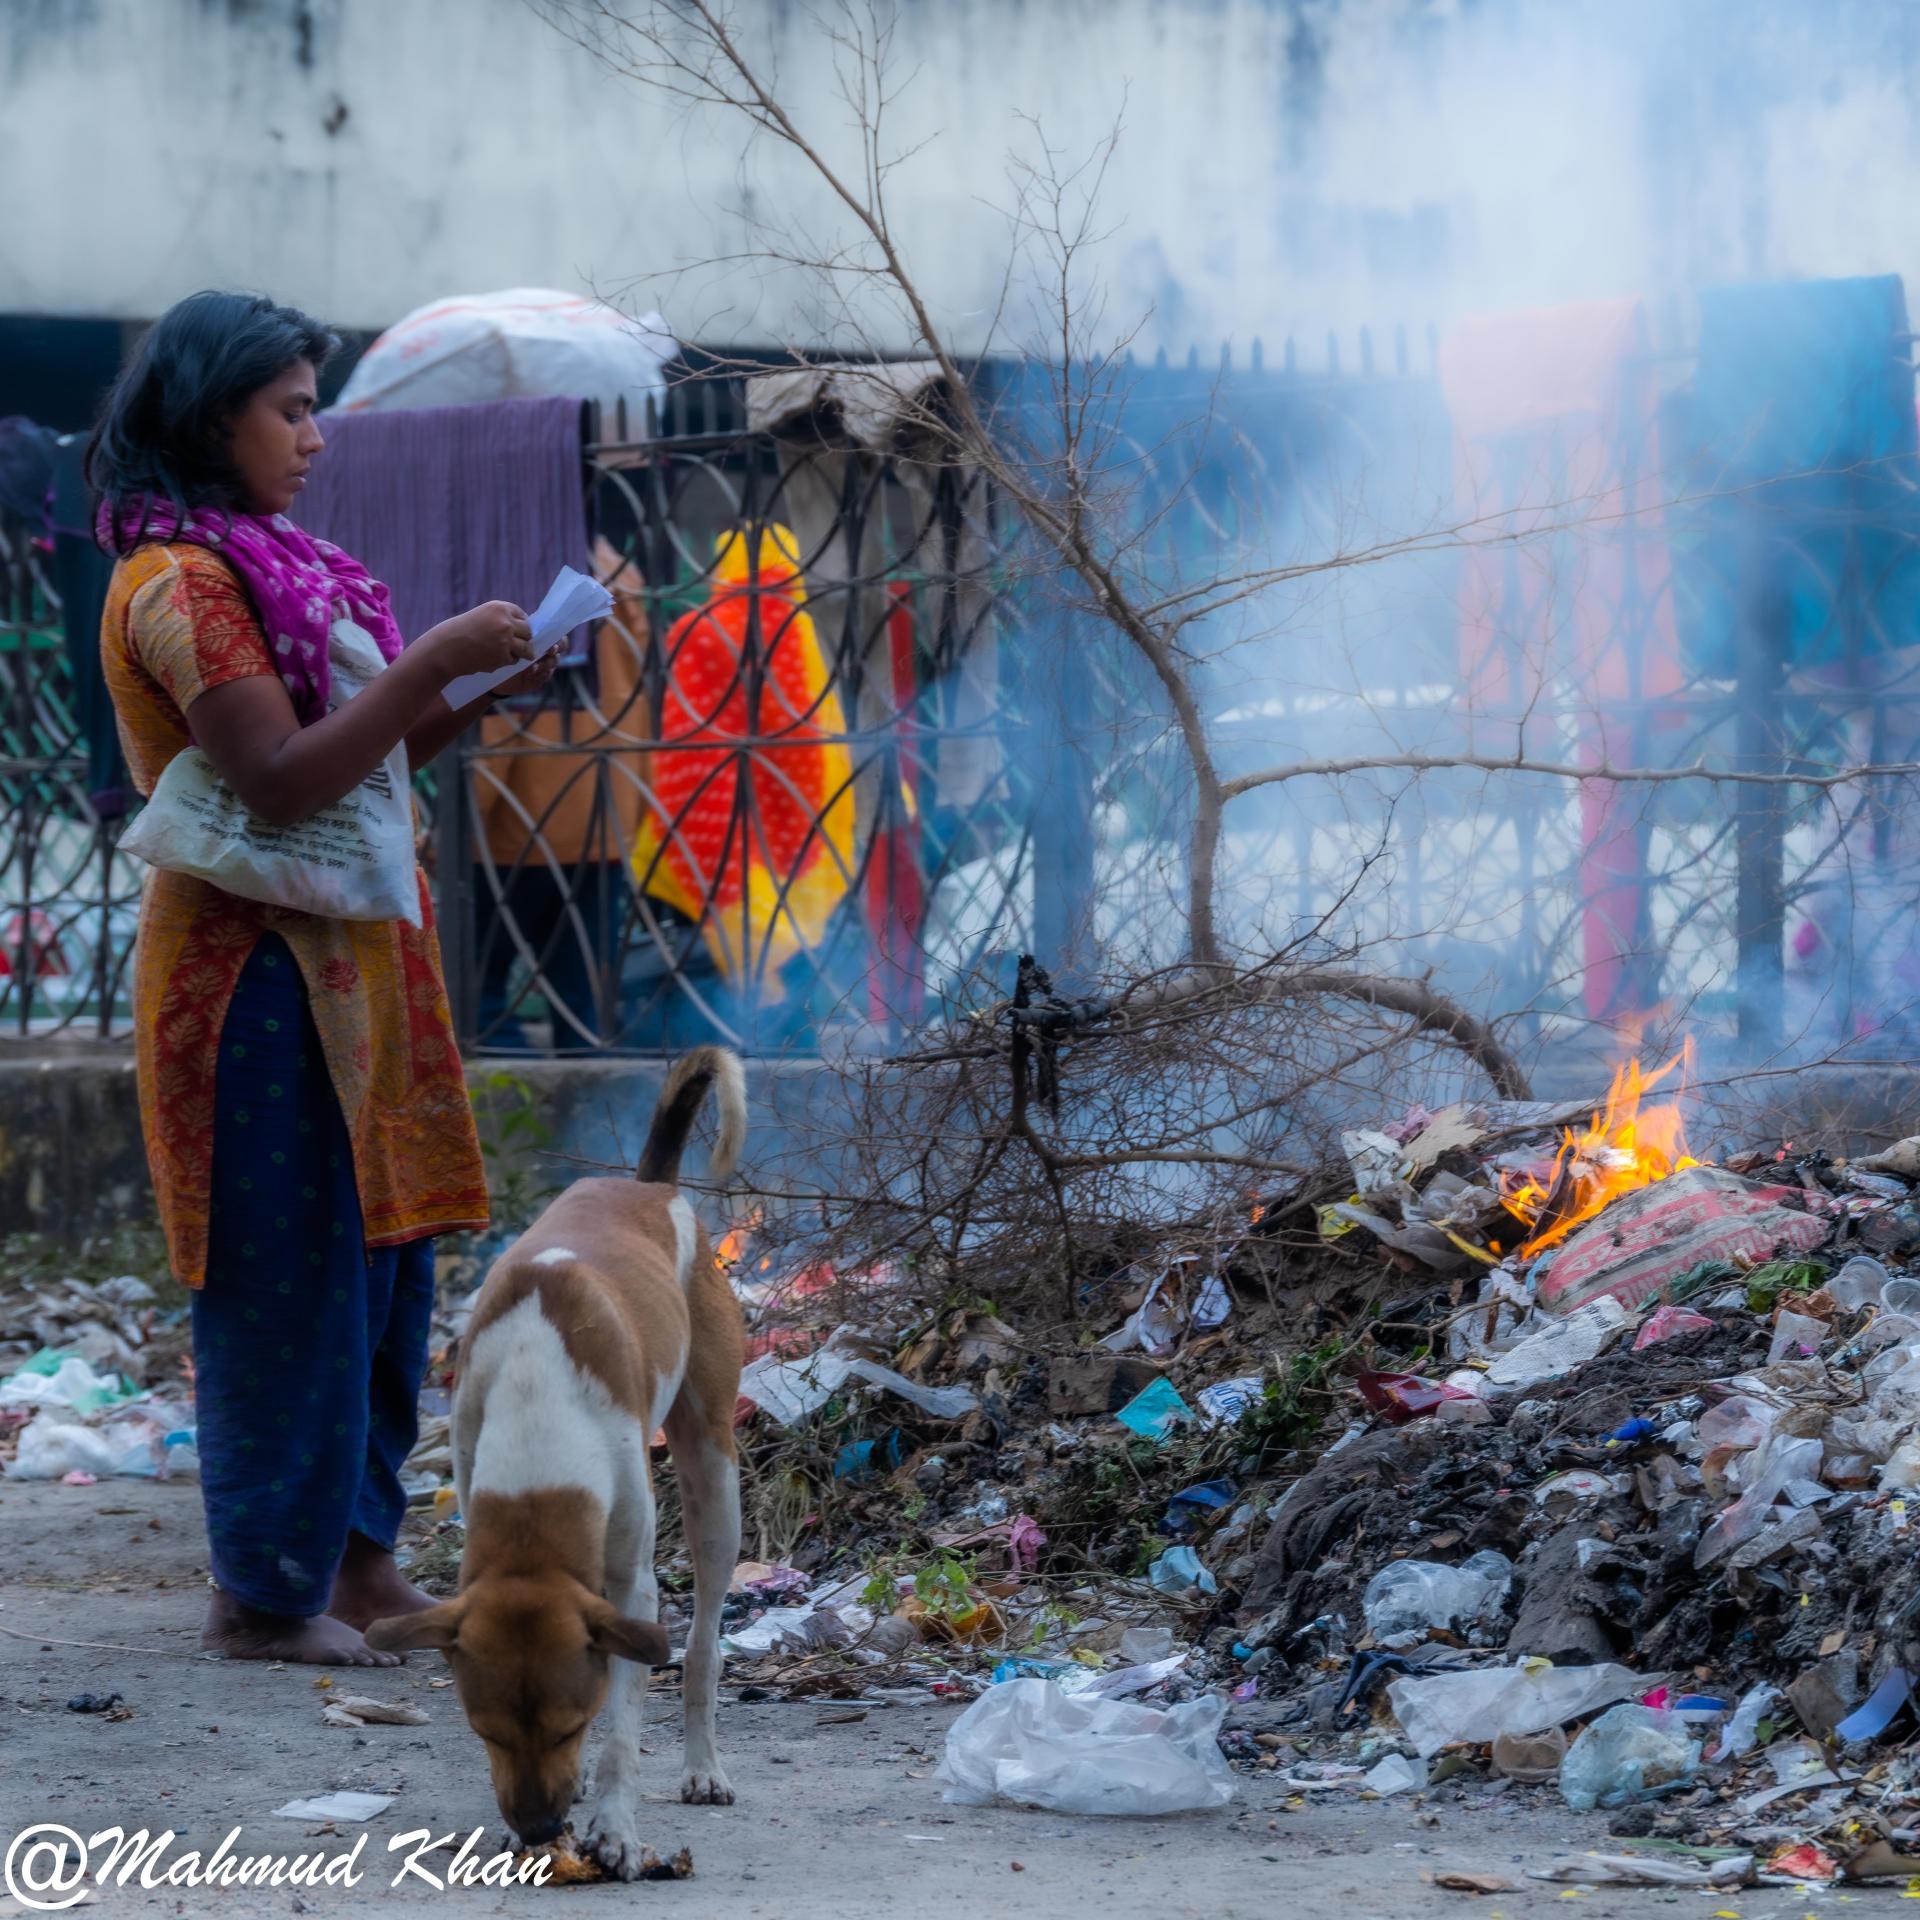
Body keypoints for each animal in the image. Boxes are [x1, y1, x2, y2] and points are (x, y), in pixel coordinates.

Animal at [366, 1052, 748, 1873]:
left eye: (573, 1726)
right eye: (485, 1732)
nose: (542, 1828)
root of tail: (648, 1185)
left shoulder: (632, 1590)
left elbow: (625, 1734)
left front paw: (615, 1826)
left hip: (714, 1480)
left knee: (702, 1645)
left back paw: (702, 1765)